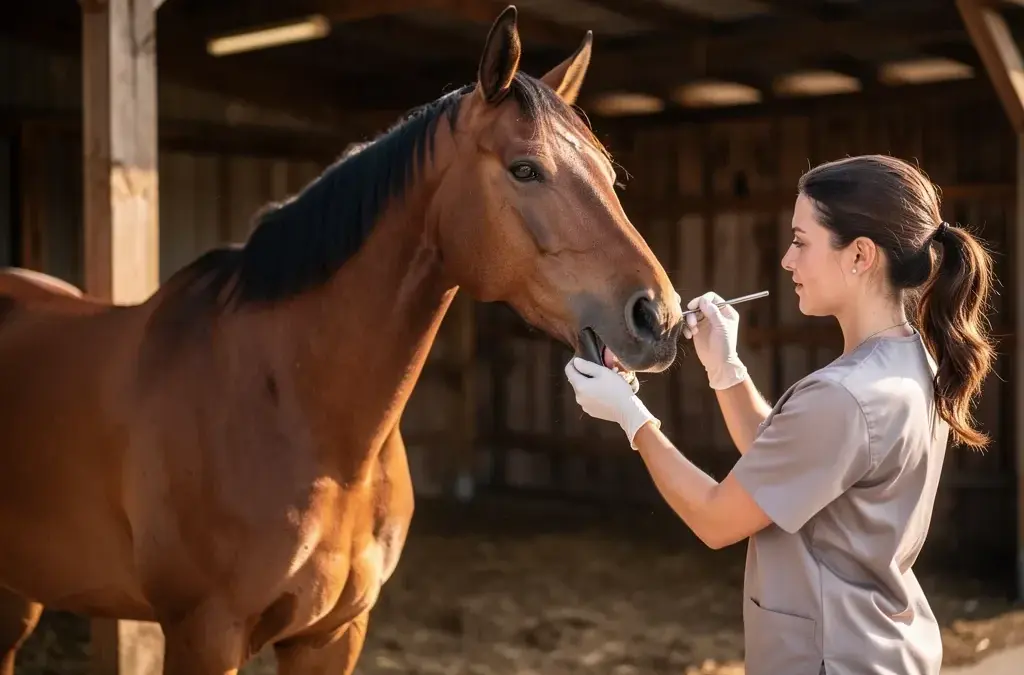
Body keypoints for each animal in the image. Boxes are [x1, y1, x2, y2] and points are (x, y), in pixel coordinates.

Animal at [0, 6, 683, 674]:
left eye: (608, 174)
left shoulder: (334, 633)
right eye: (525, 169)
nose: (658, 318)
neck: (301, 415)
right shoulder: (204, 634)